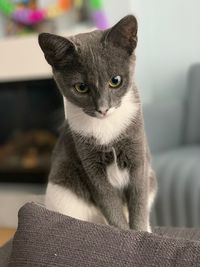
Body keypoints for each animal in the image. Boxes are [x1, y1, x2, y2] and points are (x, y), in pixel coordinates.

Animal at [38, 15, 157, 232]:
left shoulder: (138, 155)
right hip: (62, 192)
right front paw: (123, 232)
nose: (103, 109)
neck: (106, 128)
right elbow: (109, 203)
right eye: (81, 87)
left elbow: (138, 201)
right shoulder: (90, 166)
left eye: (115, 81)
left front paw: (141, 233)